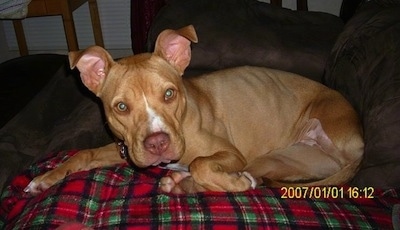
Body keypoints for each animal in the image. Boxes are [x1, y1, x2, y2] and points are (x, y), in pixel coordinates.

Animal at [23, 24, 364, 194]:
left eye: (169, 93)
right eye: (121, 106)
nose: (157, 144)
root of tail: (358, 148)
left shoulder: (231, 154)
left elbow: (201, 162)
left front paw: (232, 182)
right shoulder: (126, 149)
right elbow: (84, 154)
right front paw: (45, 179)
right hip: (278, 159)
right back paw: (178, 184)